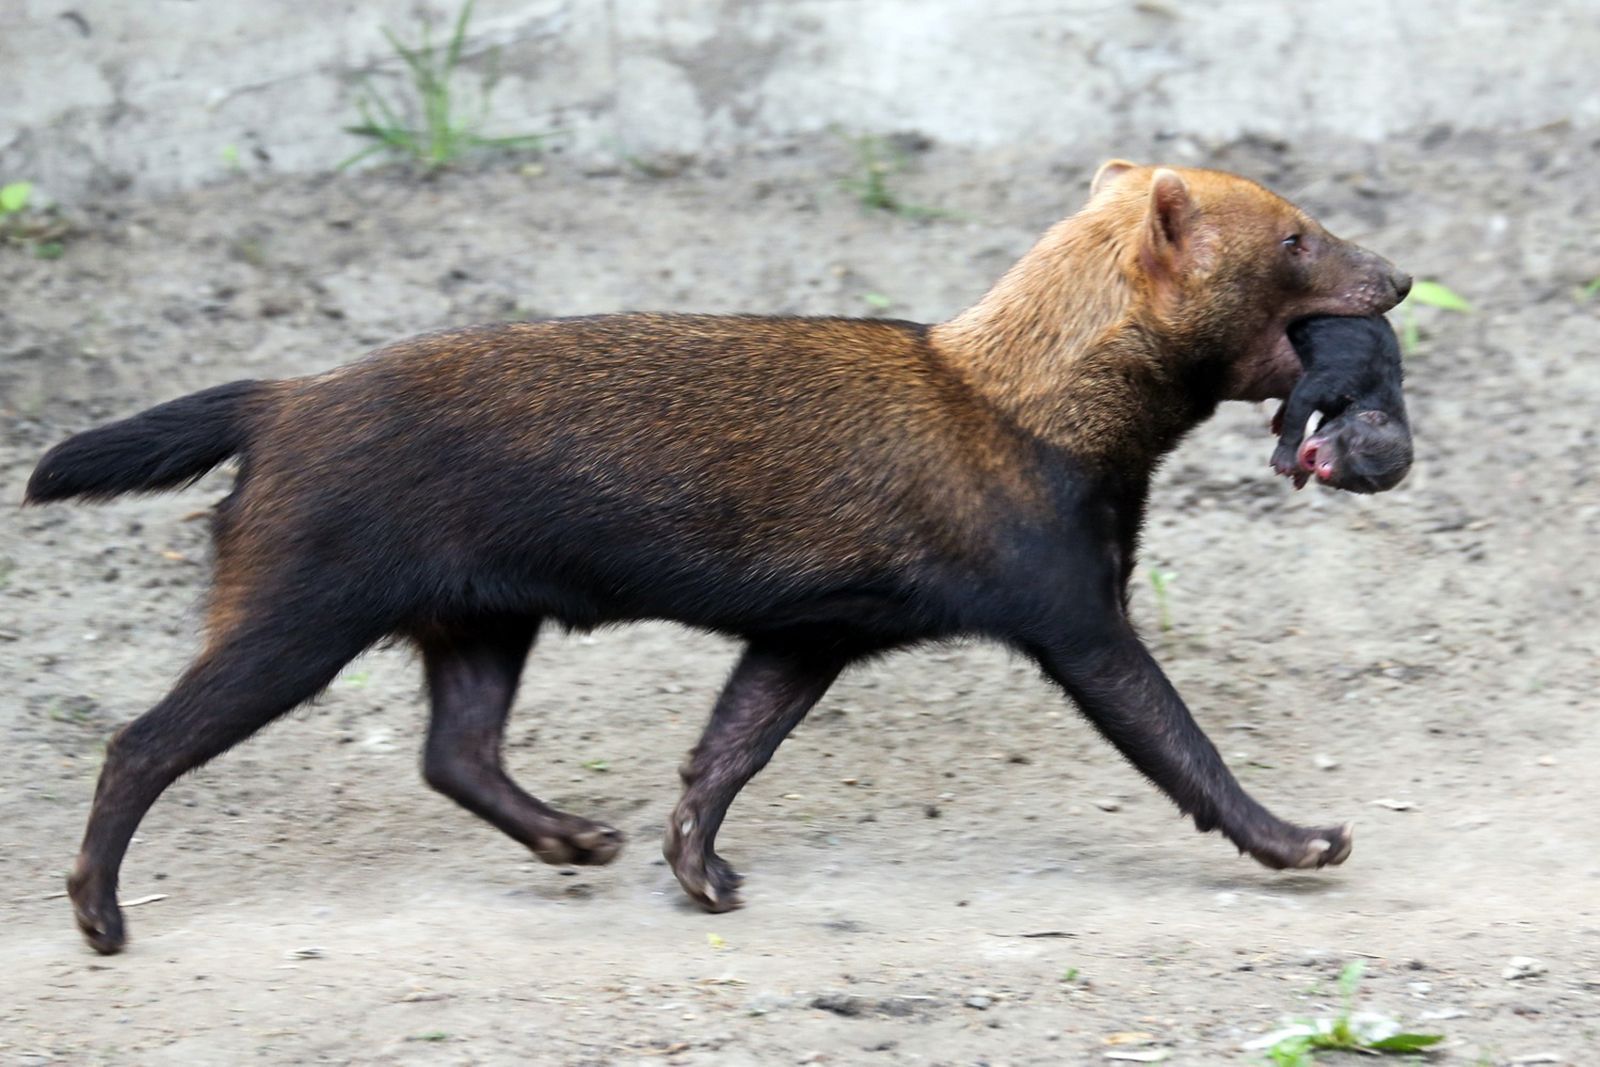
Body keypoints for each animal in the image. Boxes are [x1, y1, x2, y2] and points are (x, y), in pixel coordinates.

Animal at [1273, 315, 1414, 495]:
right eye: (1354, 441)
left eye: (1363, 481)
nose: (1325, 468)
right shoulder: (1342, 377)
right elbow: (1303, 399)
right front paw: (1285, 455)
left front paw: (1302, 473)